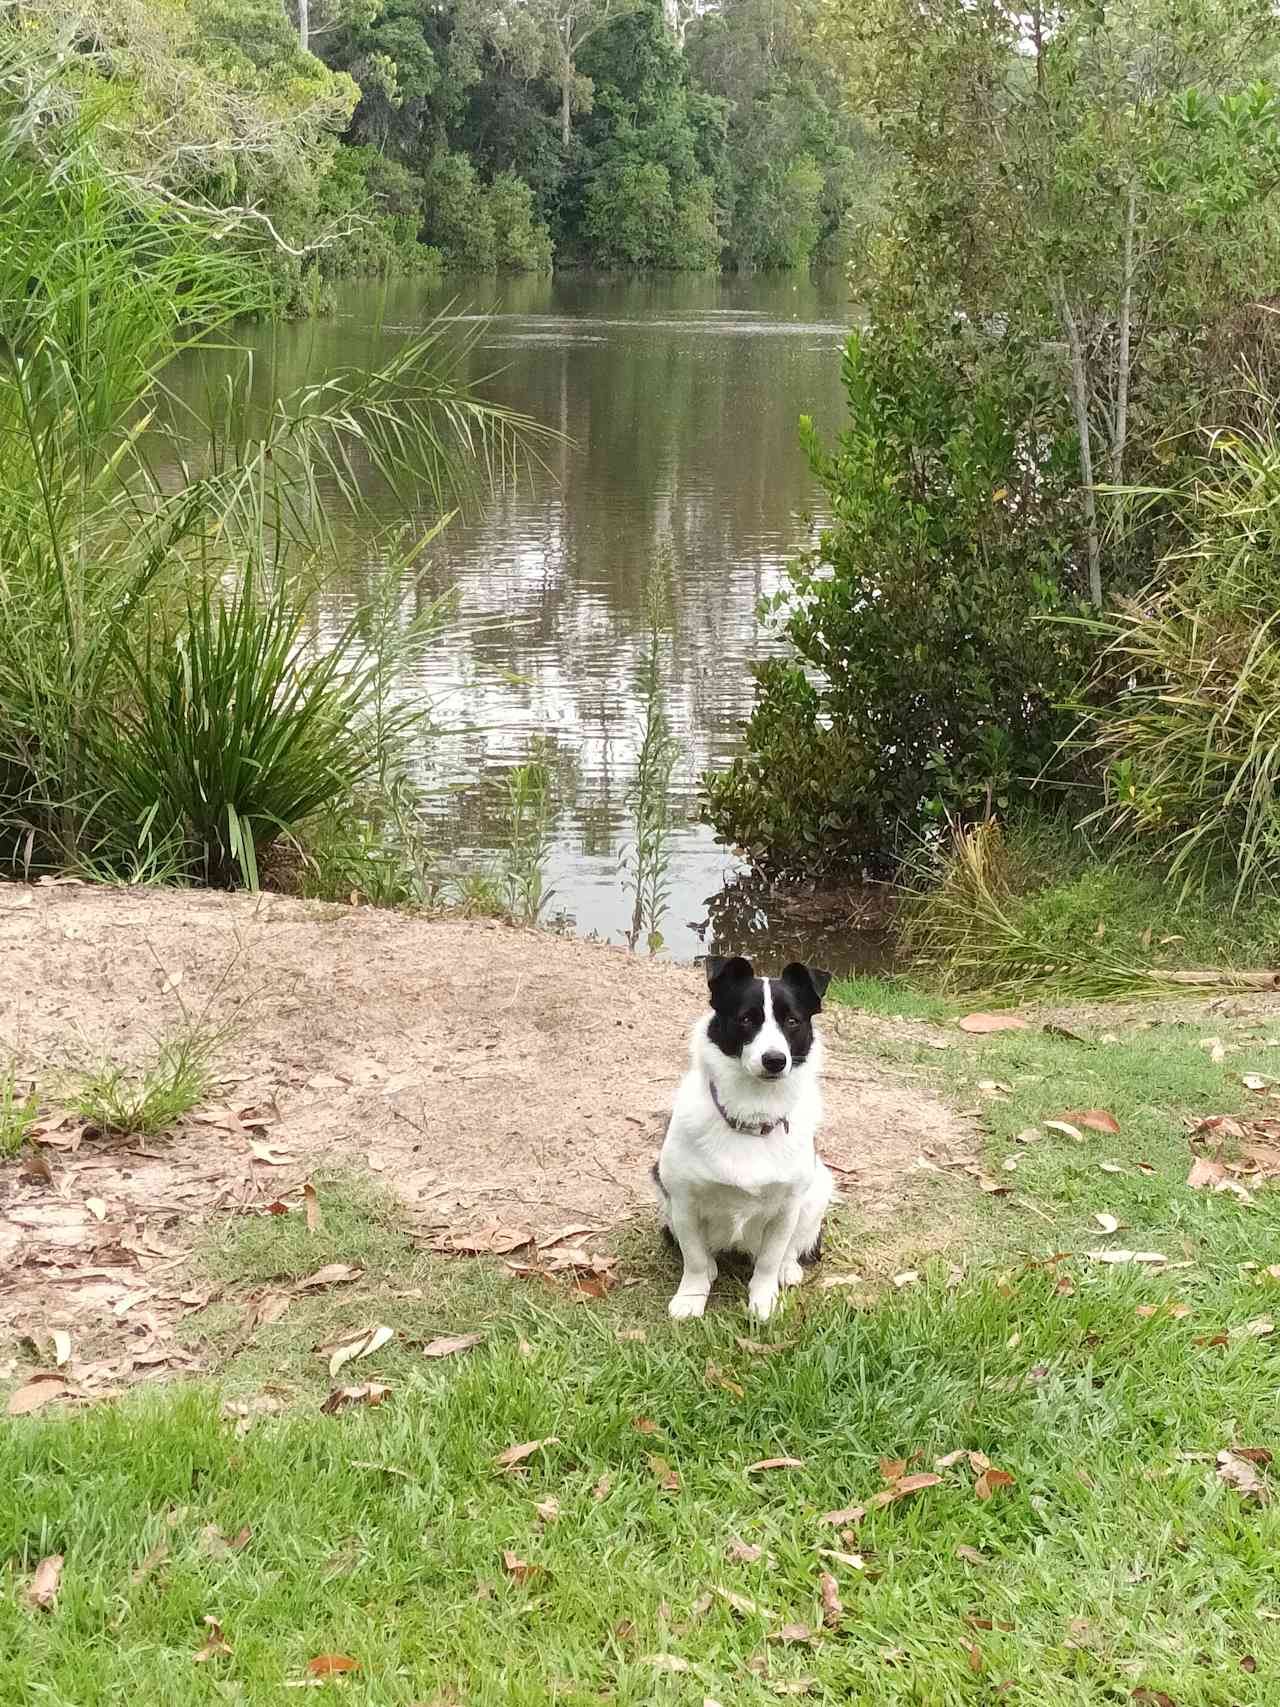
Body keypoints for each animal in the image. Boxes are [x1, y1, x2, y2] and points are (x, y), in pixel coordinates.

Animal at [655, 962, 836, 1317]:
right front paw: (692, 1297)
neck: (751, 1119)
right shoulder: (683, 1201)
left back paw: (788, 1269)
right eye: (747, 1019)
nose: (775, 1060)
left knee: (792, 1247)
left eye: (792, 1021)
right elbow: (694, 1258)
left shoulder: (786, 1208)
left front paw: (763, 1300)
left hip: (817, 1190)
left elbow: (769, 1259)